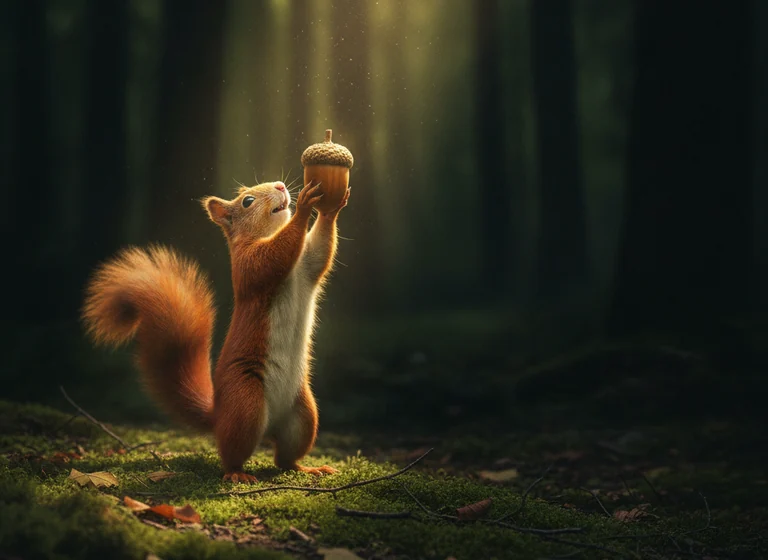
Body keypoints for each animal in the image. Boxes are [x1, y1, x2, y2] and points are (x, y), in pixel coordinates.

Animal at [82, 180, 349, 482]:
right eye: (247, 201)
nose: (281, 186)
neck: (267, 234)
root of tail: (219, 414)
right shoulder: (248, 267)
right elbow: (271, 259)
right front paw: (304, 205)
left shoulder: (306, 267)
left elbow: (319, 254)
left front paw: (330, 209)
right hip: (246, 403)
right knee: (232, 452)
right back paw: (237, 474)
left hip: (303, 416)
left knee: (284, 459)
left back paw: (309, 468)